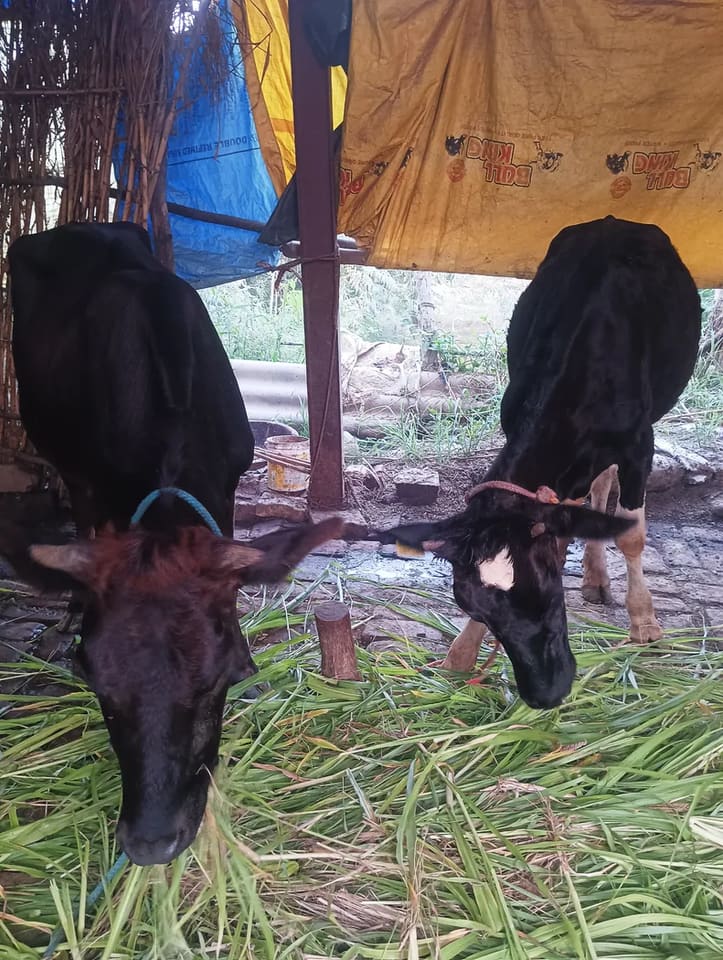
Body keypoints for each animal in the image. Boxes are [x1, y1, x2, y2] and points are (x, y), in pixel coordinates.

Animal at [380, 216, 701, 710]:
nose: (546, 693)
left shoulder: (639, 445)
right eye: (475, 609)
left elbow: (631, 535)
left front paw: (644, 621)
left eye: (549, 594)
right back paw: (594, 576)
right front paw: (461, 653)